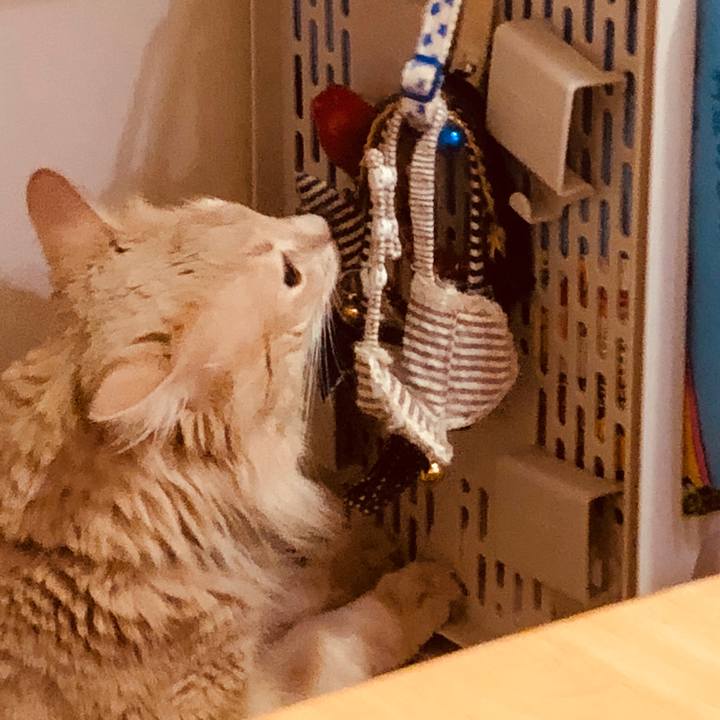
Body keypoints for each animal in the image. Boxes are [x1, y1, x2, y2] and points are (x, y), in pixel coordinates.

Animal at [0, 170, 460, 719]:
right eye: (289, 275)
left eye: (236, 208)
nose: (321, 224)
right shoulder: (242, 696)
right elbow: (338, 637)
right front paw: (419, 587)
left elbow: (298, 585)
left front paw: (362, 550)